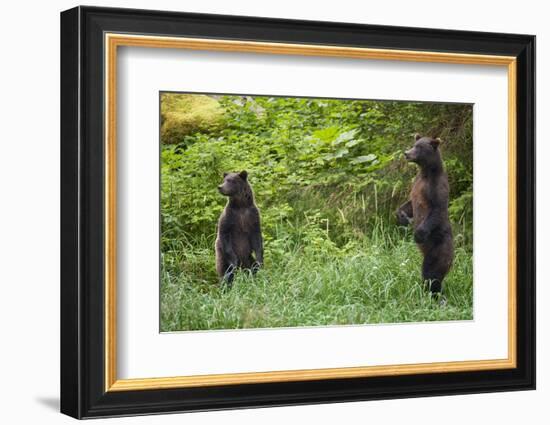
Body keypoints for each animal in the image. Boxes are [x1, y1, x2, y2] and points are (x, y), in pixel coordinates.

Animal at [398, 134, 454, 294]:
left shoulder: (436, 186)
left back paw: (435, 294)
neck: (426, 172)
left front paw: (418, 234)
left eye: (419, 147)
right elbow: (409, 202)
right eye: (414, 144)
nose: (406, 153)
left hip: (439, 247)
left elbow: (437, 209)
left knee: (432, 273)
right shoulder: (417, 183)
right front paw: (401, 216)